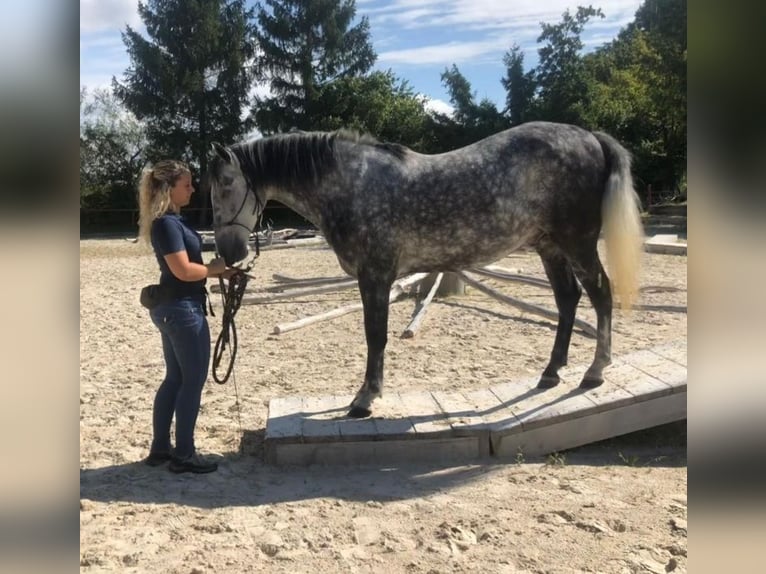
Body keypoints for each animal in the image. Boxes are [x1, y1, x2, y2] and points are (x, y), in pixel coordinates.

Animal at [206, 121, 643, 418]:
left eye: (225, 184)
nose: (227, 251)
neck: (351, 185)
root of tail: (590, 137)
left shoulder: (376, 275)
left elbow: (376, 335)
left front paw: (365, 398)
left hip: (577, 242)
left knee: (601, 294)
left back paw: (595, 371)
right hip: (549, 246)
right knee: (568, 300)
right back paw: (551, 372)